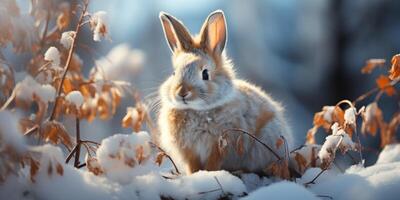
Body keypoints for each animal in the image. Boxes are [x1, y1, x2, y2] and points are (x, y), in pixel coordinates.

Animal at [157, 9, 294, 175]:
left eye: (205, 74)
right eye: (174, 73)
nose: (182, 93)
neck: (196, 110)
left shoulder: (221, 145)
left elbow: (213, 163)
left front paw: (208, 174)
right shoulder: (190, 151)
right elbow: (193, 166)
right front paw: (195, 175)